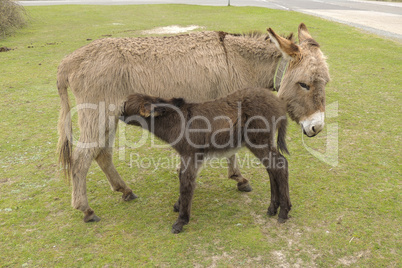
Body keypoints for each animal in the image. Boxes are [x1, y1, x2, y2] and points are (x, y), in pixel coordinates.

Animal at [121, 87, 290, 232]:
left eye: (125, 105)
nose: (119, 114)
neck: (176, 121)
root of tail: (278, 104)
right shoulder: (190, 157)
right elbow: (183, 177)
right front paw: (179, 206)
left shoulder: (190, 155)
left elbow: (186, 182)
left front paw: (181, 221)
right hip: (262, 142)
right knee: (273, 168)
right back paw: (273, 208)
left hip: (258, 140)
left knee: (279, 165)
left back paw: (283, 212)